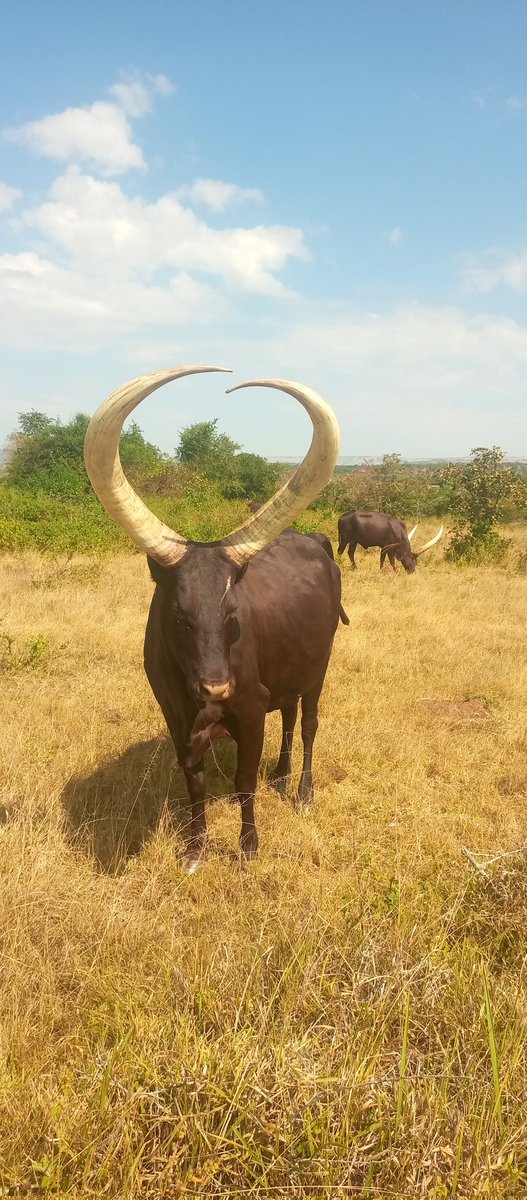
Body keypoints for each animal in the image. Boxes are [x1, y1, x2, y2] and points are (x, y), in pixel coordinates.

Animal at [84, 366, 346, 872]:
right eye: (179, 614)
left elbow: (243, 781)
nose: (216, 687)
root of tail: (313, 539)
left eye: (232, 611)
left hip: (319, 669)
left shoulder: (249, 709)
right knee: (288, 717)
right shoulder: (175, 716)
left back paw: (303, 792)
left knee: (307, 724)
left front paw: (248, 848)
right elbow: (196, 784)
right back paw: (280, 776)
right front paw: (195, 849)